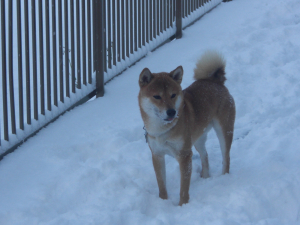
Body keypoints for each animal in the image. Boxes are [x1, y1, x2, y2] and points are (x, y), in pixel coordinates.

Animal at [139, 51, 236, 206]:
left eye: (173, 95)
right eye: (157, 96)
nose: (171, 112)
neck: (162, 130)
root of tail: (215, 82)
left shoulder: (184, 156)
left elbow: (183, 188)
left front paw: (182, 205)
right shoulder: (157, 155)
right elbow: (162, 185)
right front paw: (163, 202)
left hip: (224, 131)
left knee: (226, 157)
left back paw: (224, 177)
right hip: (197, 139)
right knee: (205, 156)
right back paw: (205, 177)